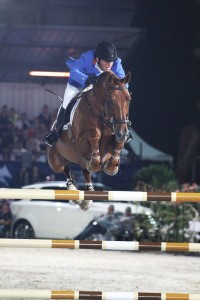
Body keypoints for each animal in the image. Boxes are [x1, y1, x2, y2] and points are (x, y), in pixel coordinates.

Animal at [46, 70, 132, 211]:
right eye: (111, 100)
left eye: (128, 99)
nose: (122, 133)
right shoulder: (81, 141)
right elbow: (93, 137)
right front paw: (96, 163)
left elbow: (117, 145)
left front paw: (111, 166)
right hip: (55, 162)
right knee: (65, 168)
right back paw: (74, 192)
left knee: (84, 171)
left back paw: (87, 197)